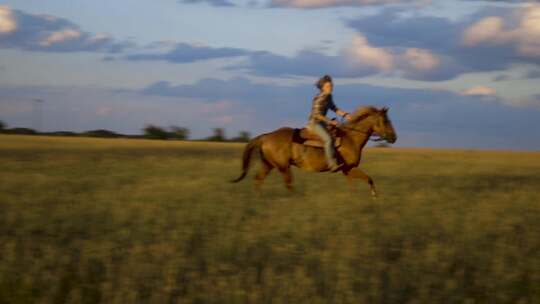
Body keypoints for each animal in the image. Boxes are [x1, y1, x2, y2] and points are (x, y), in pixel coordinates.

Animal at [231, 106, 396, 197]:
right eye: (386, 121)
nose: (394, 137)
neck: (350, 138)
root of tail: (266, 136)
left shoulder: (347, 170)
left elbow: (361, 182)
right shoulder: (349, 168)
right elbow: (368, 179)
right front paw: (374, 196)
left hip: (269, 165)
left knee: (258, 179)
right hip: (283, 167)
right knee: (288, 184)